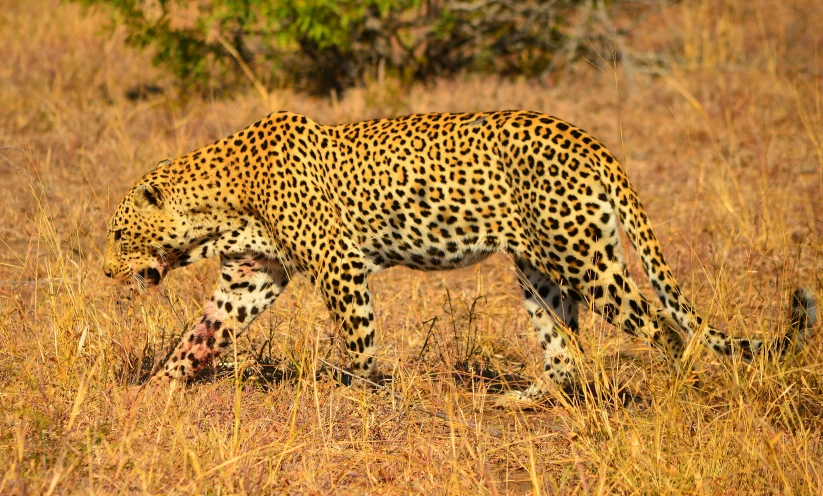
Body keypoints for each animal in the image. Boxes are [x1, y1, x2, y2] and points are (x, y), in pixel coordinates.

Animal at [103, 109, 816, 400]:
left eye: (116, 234)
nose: (106, 270)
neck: (216, 209)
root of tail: (592, 143)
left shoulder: (339, 266)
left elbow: (358, 339)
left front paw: (356, 392)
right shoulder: (251, 278)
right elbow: (199, 335)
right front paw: (154, 391)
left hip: (588, 262)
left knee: (668, 329)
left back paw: (677, 394)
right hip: (538, 270)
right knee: (564, 347)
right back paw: (520, 401)